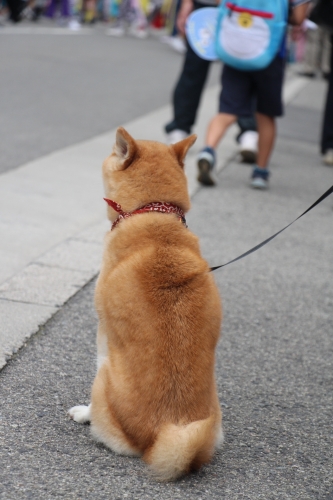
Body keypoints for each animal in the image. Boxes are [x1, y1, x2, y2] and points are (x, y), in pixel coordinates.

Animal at [68, 127, 222, 478]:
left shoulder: (104, 333)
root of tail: (158, 435)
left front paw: (84, 413)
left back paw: (87, 416)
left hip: (103, 379)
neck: (151, 211)